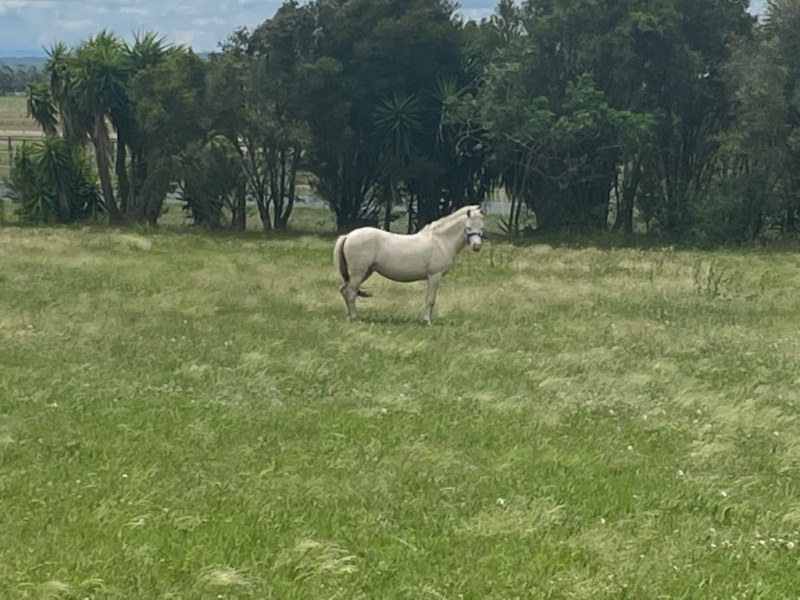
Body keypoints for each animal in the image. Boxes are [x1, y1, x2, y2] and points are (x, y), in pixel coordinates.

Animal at [333, 205, 485, 325]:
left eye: (482, 227)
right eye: (468, 227)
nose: (477, 246)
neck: (440, 240)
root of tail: (348, 236)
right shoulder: (434, 276)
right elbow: (430, 300)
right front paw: (427, 321)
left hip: (364, 272)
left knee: (344, 290)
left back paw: (349, 316)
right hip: (359, 273)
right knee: (351, 292)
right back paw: (355, 317)